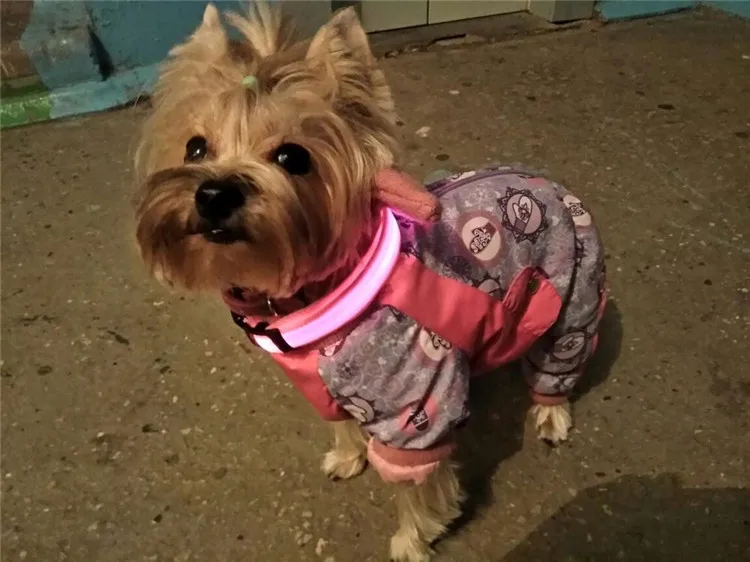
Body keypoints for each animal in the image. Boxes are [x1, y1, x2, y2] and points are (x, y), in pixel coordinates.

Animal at [134, 3, 607, 560]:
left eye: (293, 157)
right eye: (195, 148)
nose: (213, 193)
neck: (317, 295)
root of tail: (547, 182)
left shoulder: (415, 408)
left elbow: (416, 486)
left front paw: (412, 539)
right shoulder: (321, 386)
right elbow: (341, 423)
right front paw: (347, 456)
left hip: (574, 295)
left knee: (561, 359)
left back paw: (552, 413)